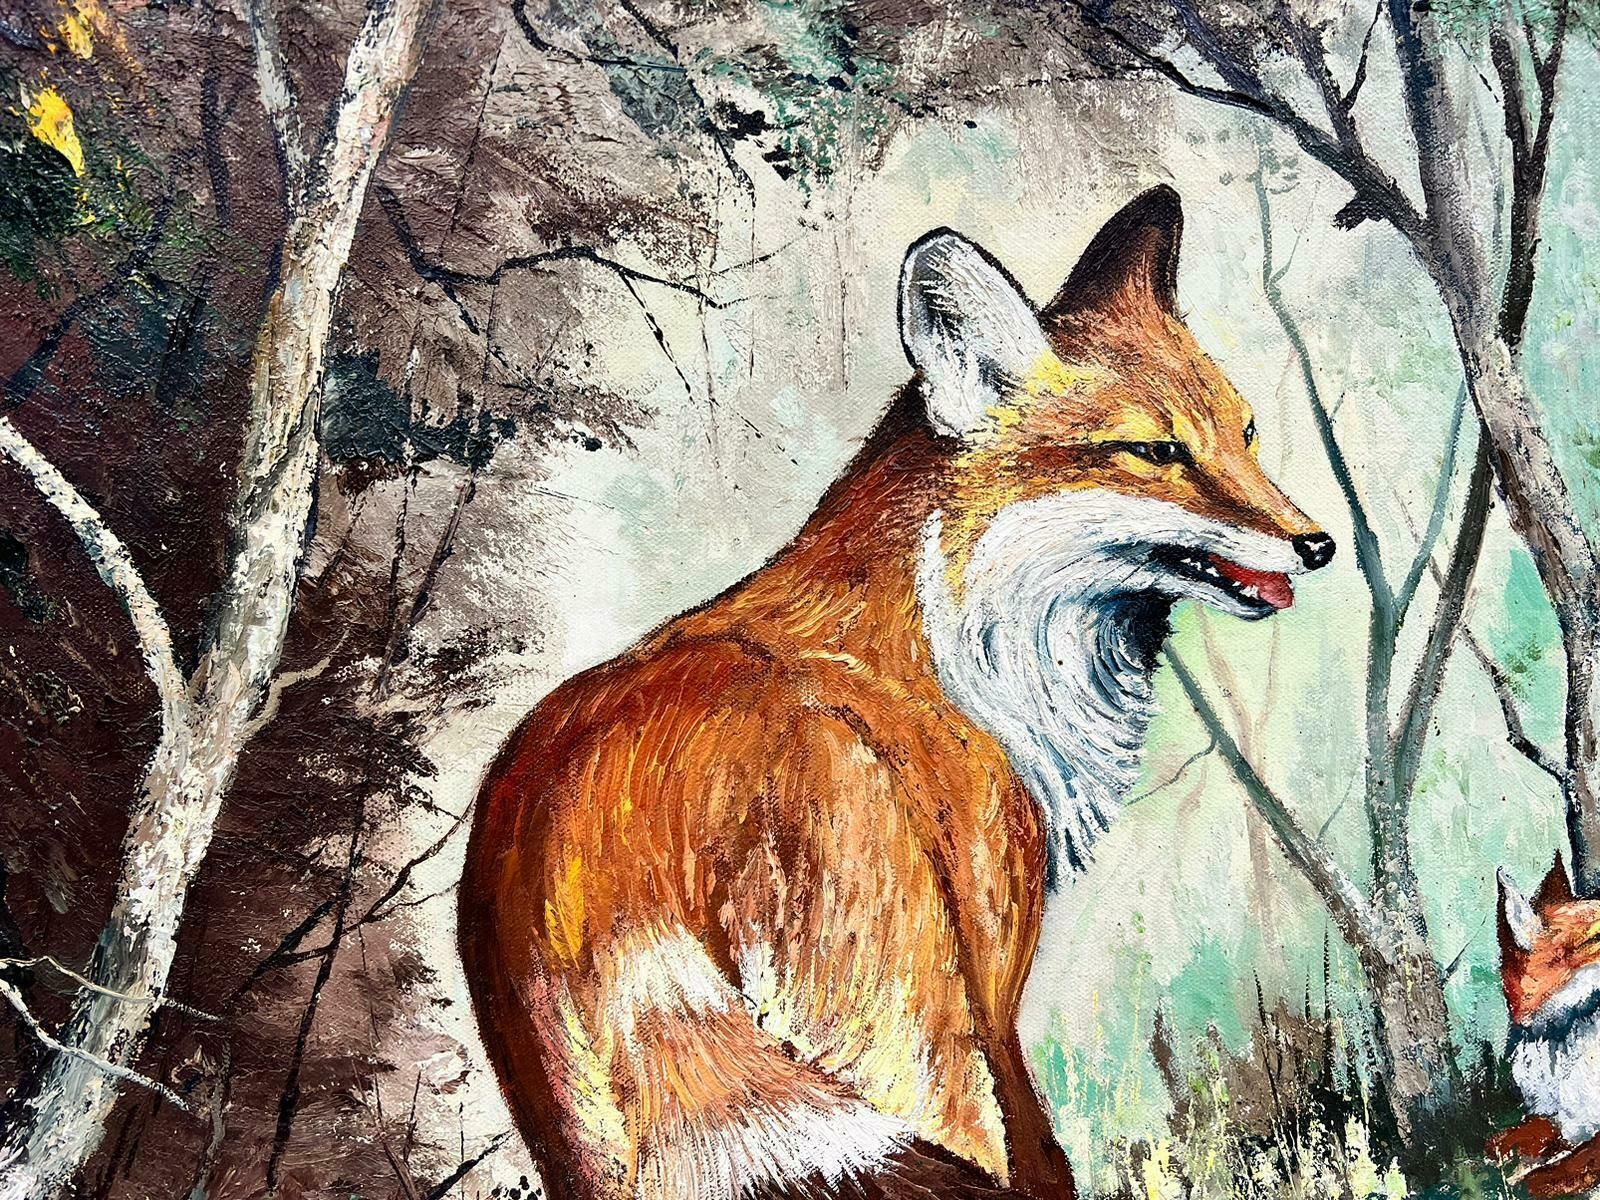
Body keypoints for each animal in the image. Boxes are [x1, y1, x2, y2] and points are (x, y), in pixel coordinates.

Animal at [458, 186, 1335, 1200]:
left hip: (598, 1150)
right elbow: (1039, 1154)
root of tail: (604, 833)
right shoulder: (986, 986)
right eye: (1153, 451)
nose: (1317, 544)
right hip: (912, 1044)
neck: (955, 654)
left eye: (1245, 432)